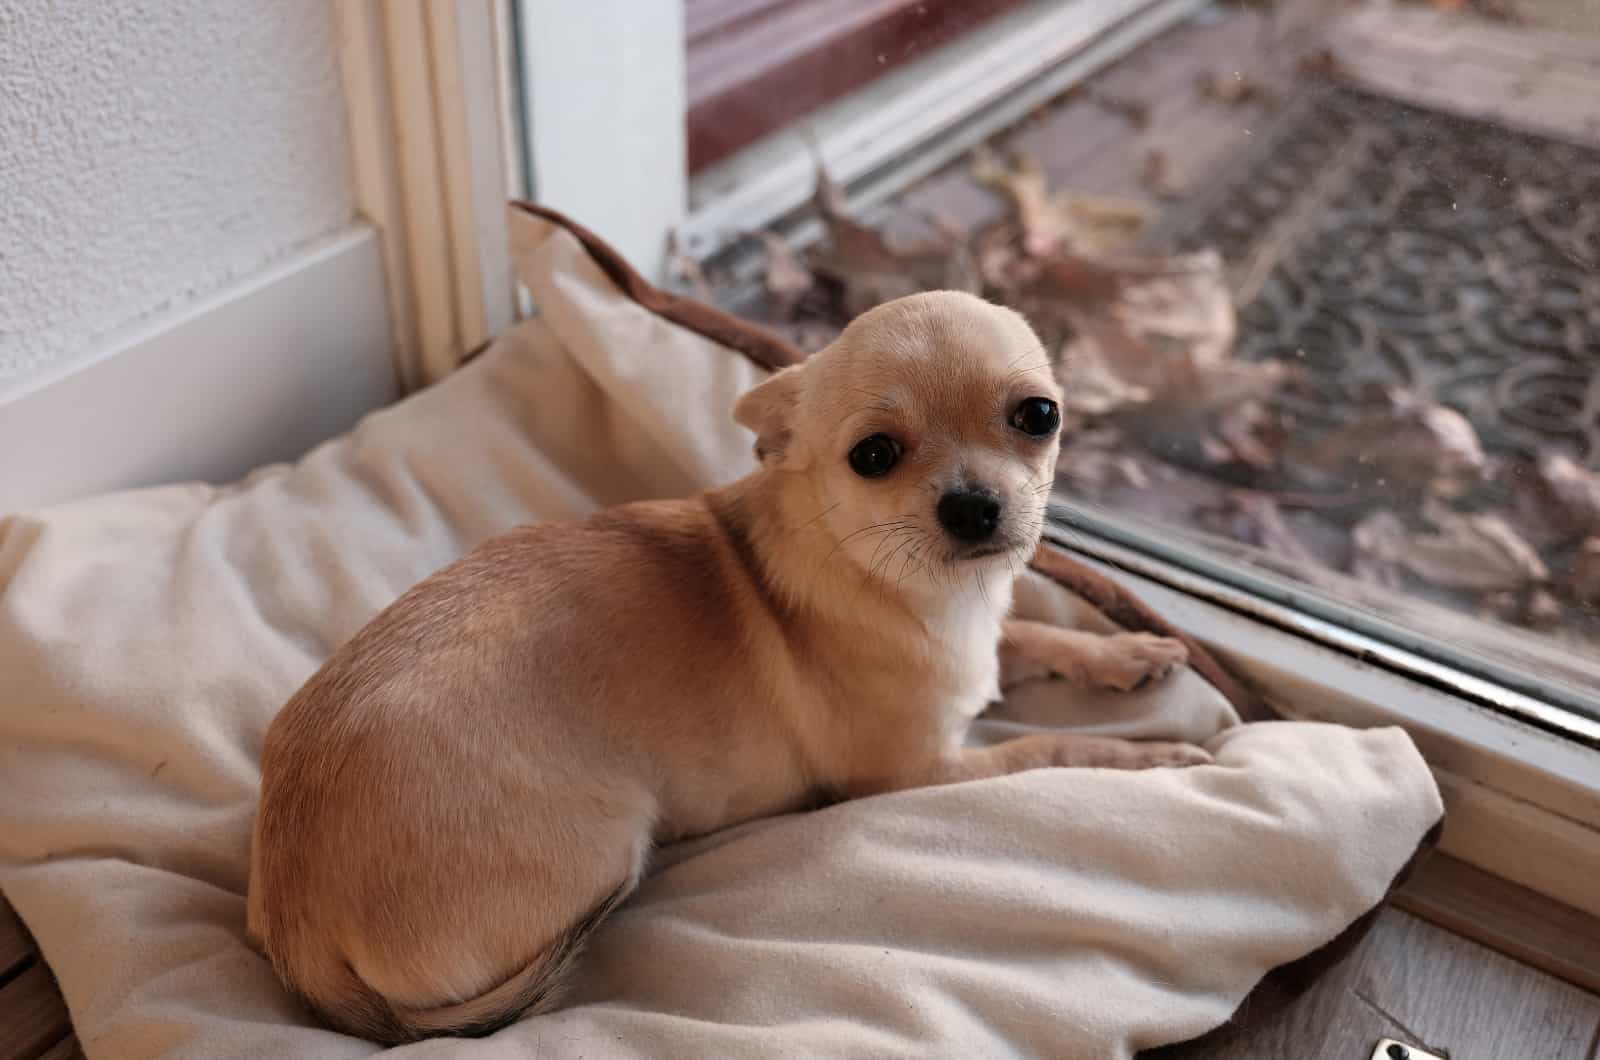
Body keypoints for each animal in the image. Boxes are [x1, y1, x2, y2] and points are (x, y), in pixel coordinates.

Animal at [246, 291, 1203, 1043]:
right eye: (874, 456)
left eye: (1038, 416)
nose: (973, 506)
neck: (925, 597)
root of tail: (296, 924)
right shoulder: (913, 774)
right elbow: (1048, 748)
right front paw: (1150, 757)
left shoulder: (986, 645)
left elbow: (1032, 638)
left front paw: (1122, 651)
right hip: (610, 840)